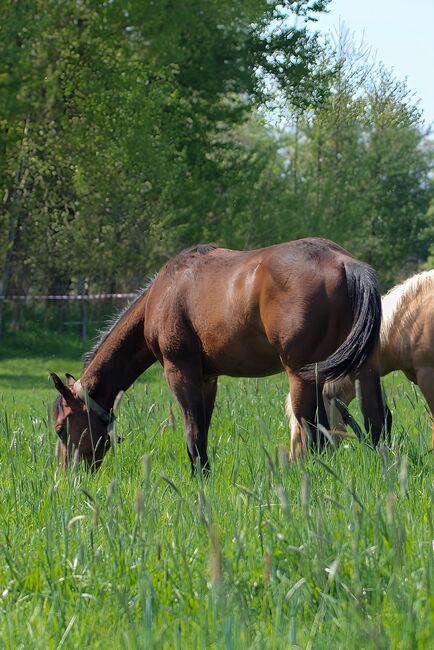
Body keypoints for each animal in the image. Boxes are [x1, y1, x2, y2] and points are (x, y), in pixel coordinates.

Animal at [51, 238, 386, 473]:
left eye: (61, 428)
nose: (70, 475)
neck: (163, 295)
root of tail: (345, 263)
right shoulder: (207, 379)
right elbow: (203, 429)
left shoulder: (180, 371)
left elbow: (193, 433)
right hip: (364, 370)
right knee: (376, 421)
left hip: (302, 377)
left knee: (313, 436)